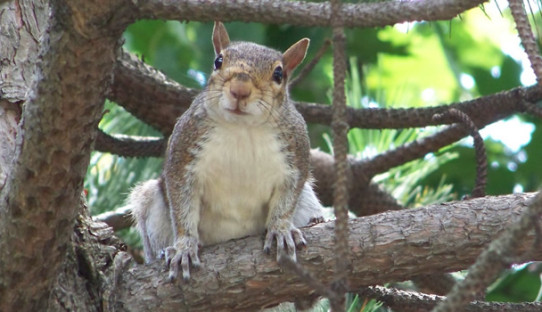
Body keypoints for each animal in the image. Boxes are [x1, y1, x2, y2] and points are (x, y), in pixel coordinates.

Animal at [130, 22, 326, 280]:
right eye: (218, 61)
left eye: (279, 74)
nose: (240, 89)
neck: (241, 128)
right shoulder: (184, 151)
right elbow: (182, 206)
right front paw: (184, 246)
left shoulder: (296, 155)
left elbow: (287, 199)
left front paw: (280, 229)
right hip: (150, 202)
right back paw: (165, 251)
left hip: (307, 199)